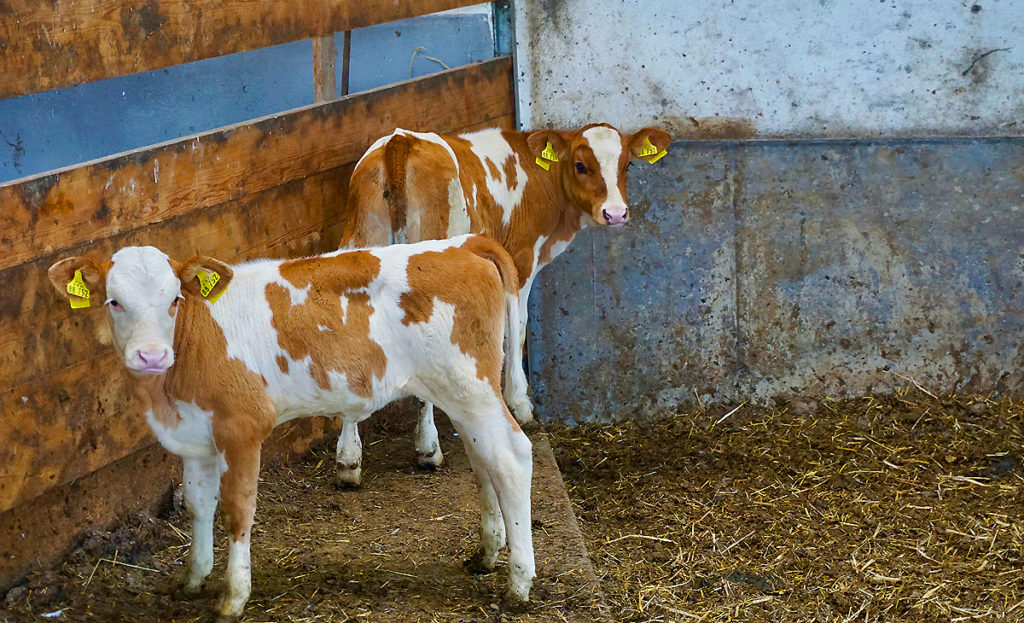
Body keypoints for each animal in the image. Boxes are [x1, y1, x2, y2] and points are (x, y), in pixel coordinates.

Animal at [46, 234, 536, 623]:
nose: (151, 355)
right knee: (484, 461)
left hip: (469, 385)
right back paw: (486, 554)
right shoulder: (196, 436)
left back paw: (519, 583)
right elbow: (199, 506)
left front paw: (233, 597)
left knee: (512, 458)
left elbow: (237, 511)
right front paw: (194, 576)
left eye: (174, 300)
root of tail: (462, 243)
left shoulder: (242, 428)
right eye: (114, 301)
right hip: (462, 393)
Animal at [335, 120, 671, 481]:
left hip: (360, 244)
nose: (616, 213)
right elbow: (517, 328)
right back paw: (428, 449)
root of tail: (401, 142)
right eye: (581, 165)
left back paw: (349, 460)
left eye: (627, 165)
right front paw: (520, 403)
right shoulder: (520, 261)